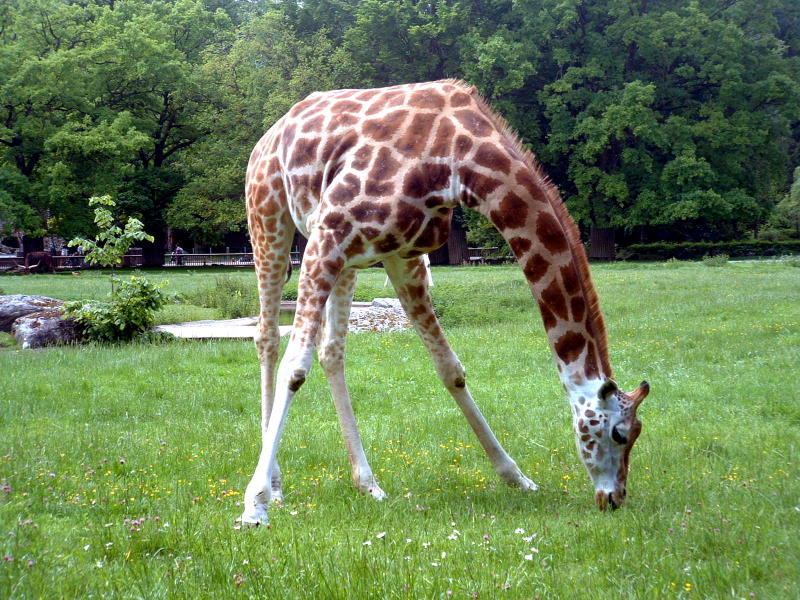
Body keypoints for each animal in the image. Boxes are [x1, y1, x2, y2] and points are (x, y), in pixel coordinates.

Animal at [239, 78, 648, 524]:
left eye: (637, 432)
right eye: (619, 432)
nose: (614, 497)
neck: (459, 162)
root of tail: (269, 134)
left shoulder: (401, 256)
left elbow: (450, 368)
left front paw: (517, 477)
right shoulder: (329, 237)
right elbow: (294, 368)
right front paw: (254, 504)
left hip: (350, 258)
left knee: (332, 351)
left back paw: (367, 483)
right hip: (270, 219)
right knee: (267, 338)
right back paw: (276, 485)